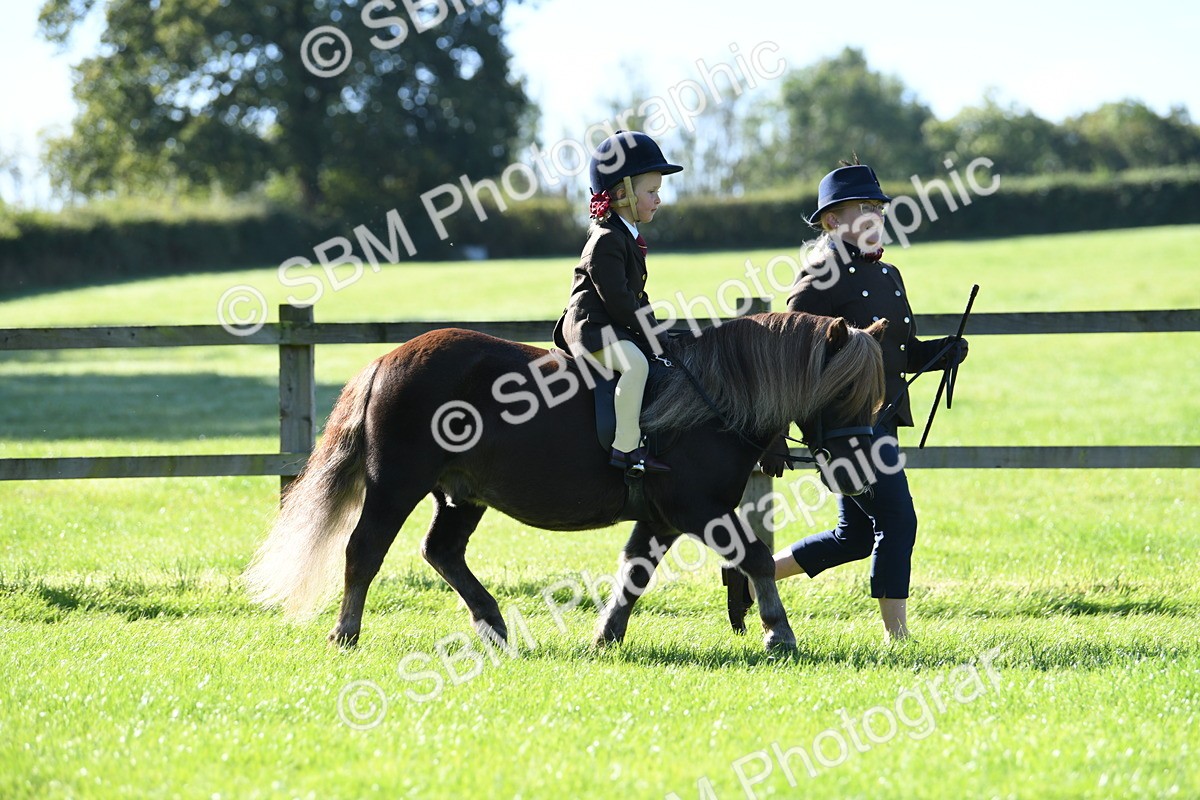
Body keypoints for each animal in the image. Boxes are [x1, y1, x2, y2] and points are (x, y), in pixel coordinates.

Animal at [244, 311, 887, 652]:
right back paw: (346, 632)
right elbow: (753, 557)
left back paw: (494, 625)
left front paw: (606, 636)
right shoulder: (697, 509)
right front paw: (780, 634)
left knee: (441, 551)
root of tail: (387, 360)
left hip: (462, 493)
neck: (711, 399)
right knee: (365, 550)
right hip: (395, 486)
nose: (860, 468)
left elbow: (634, 574)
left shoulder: (661, 518)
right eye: (843, 391)